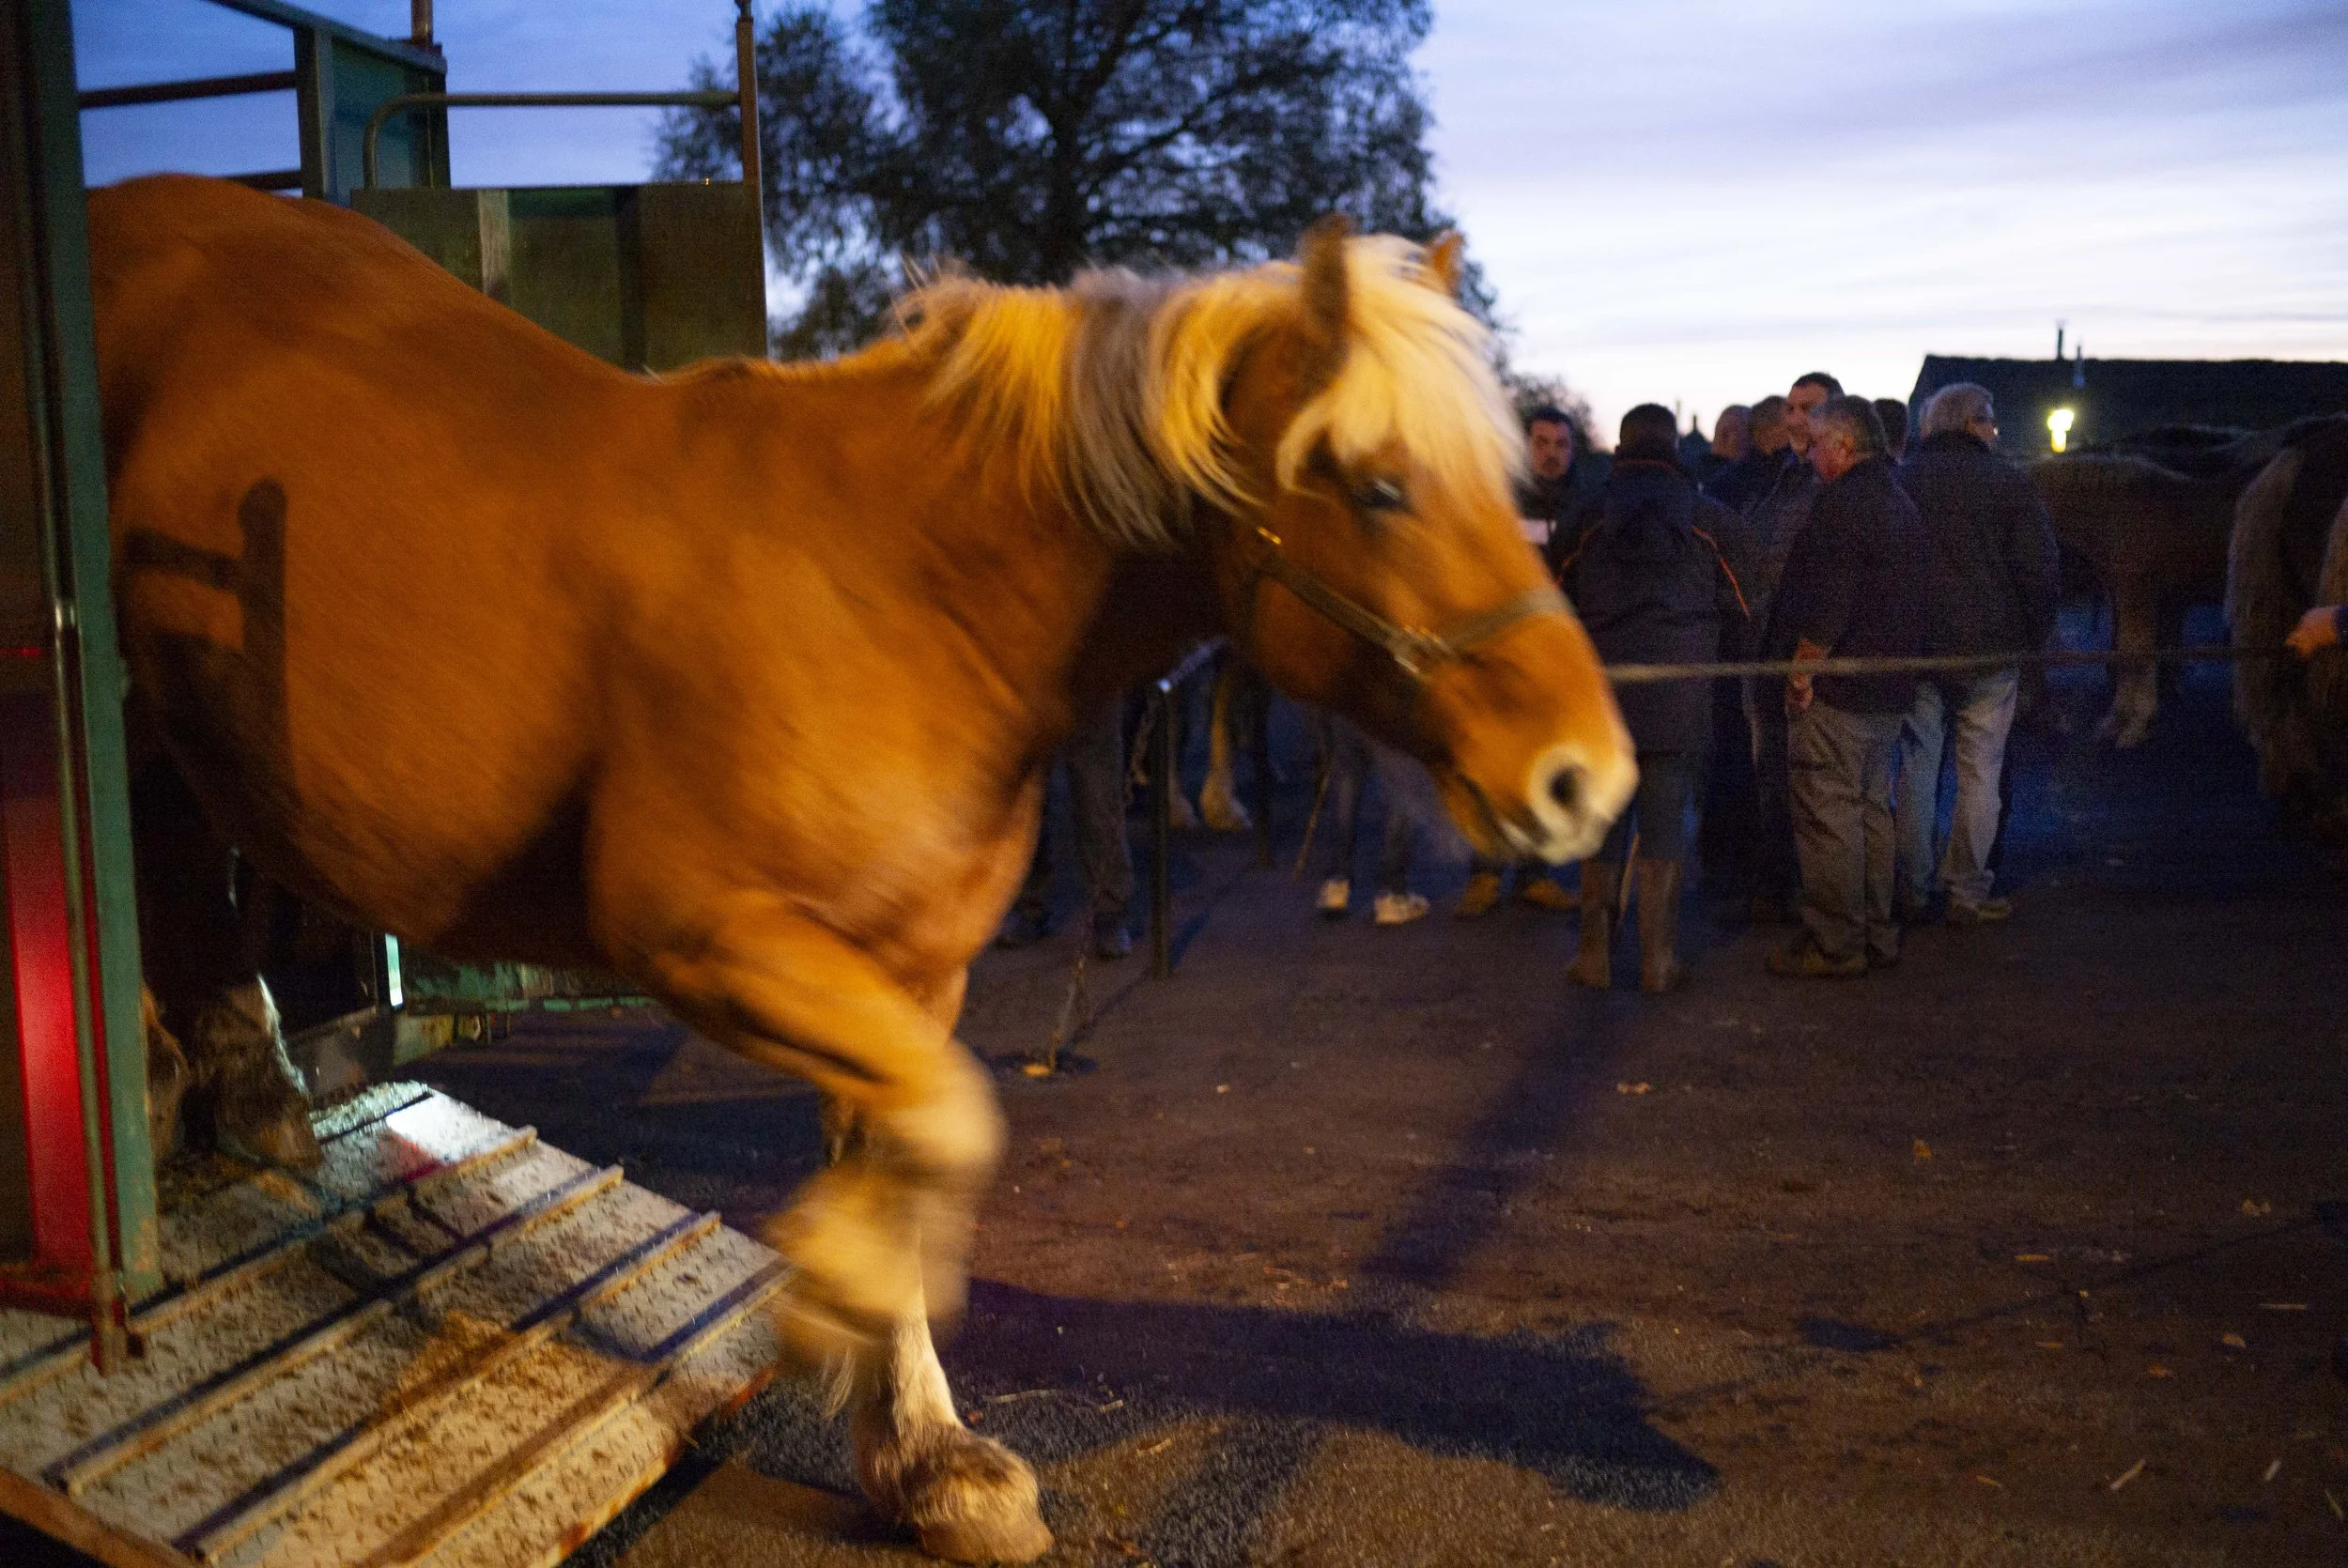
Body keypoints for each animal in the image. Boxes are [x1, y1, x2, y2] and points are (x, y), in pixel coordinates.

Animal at [88, 173, 1634, 1563]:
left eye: (1513, 477)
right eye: (1379, 487)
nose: (1590, 778)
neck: (901, 589)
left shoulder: (902, 969)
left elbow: (913, 1144)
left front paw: (926, 1461)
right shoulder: (703, 932)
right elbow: (952, 1129)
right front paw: (833, 1299)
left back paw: (235, 1082)